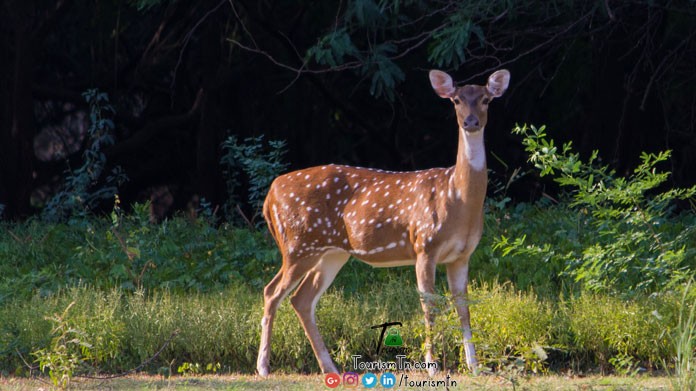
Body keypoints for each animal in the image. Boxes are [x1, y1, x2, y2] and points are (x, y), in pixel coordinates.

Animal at [256, 69, 512, 378]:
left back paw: (330, 367)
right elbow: (429, 305)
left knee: (301, 299)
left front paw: (474, 366)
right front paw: (432, 366)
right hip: (298, 245)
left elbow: (464, 307)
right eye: (456, 100)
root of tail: (270, 196)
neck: (458, 198)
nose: (471, 121)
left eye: (486, 99)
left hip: (331, 253)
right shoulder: (424, 244)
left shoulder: (461, 255)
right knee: (272, 292)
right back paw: (263, 367)